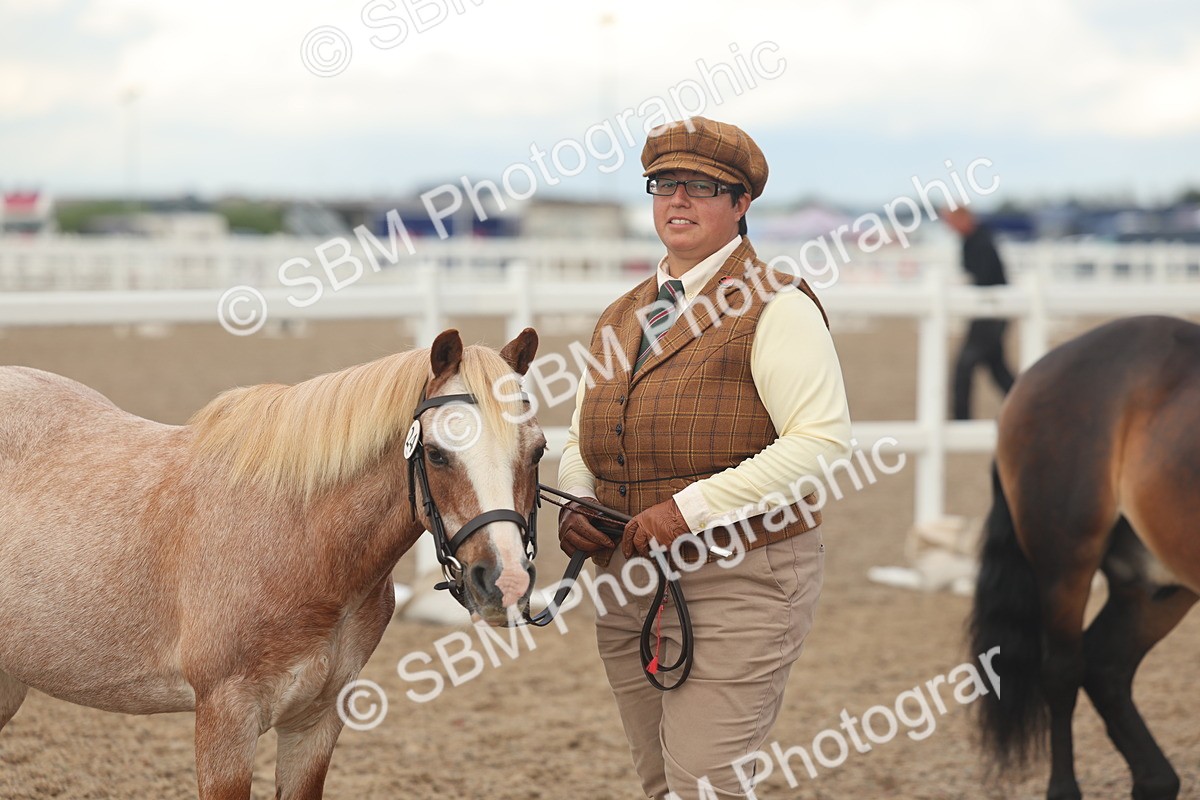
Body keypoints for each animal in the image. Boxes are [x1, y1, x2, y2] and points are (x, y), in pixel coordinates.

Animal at [0, 327, 545, 800]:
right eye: (435, 453)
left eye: (537, 450)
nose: (505, 581)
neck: (296, 535)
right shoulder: (226, 721)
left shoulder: (316, 720)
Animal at [970, 315, 1200, 800]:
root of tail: (1034, 375)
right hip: (1064, 563)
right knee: (1064, 671)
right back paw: (1066, 789)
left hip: (1155, 584)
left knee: (1106, 666)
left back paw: (1156, 780)